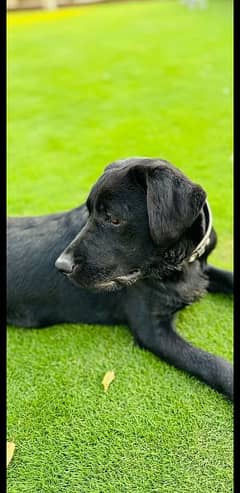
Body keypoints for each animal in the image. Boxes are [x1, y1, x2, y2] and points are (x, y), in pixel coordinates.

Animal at [6, 158, 233, 400]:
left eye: (113, 219)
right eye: (88, 213)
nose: (61, 266)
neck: (179, 263)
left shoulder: (202, 270)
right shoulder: (152, 330)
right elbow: (211, 363)